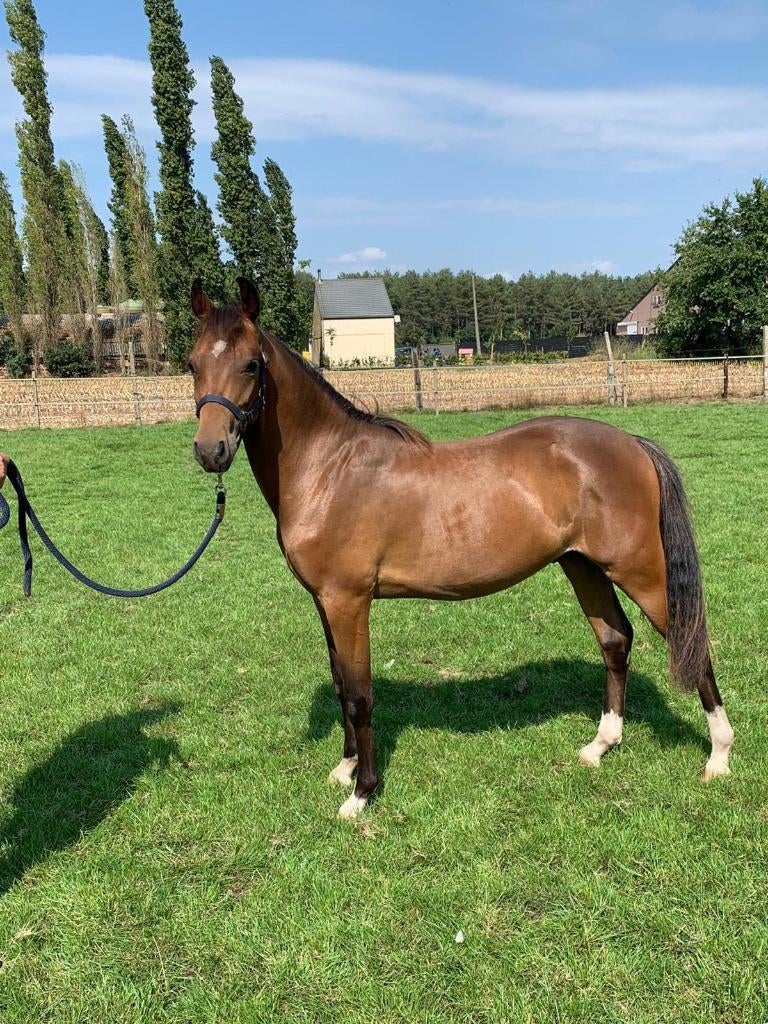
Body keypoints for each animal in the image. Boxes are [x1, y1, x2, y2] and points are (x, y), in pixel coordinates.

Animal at [189, 277, 734, 819]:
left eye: (251, 364)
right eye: (193, 363)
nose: (210, 450)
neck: (331, 468)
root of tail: (632, 443)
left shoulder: (348, 602)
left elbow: (361, 695)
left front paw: (361, 793)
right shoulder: (324, 602)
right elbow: (342, 685)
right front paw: (344, 769)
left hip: (639, 571)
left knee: (691, 639)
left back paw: (719, 756)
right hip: (583, 566)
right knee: (616, 640)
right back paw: (600, 746)